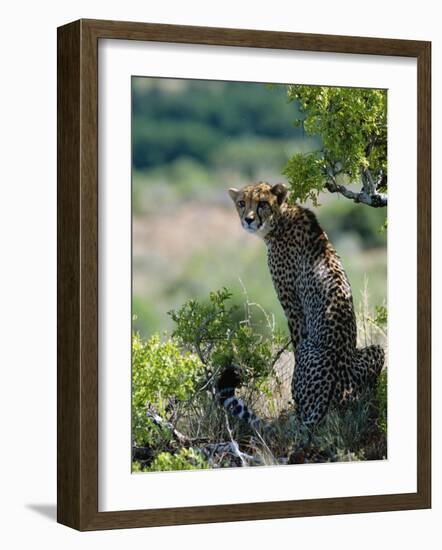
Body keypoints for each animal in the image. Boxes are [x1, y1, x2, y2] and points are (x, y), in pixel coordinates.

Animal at [224, 181, 384, 426]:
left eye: (262, 203)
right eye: (242, 203)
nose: (248, 220)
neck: (280, 219)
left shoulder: (293, 308)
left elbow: (296, 345)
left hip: (313, 349)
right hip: (377, 350)